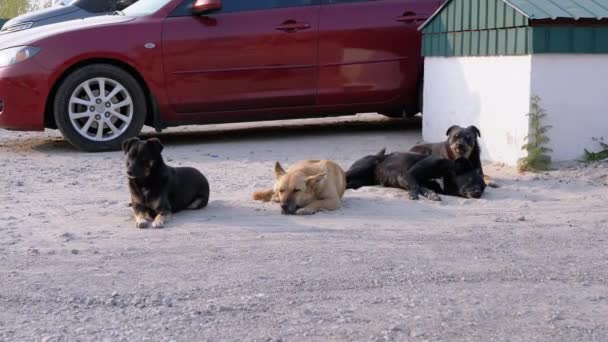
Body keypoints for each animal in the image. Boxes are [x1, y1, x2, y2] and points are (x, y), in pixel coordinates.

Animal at [346, 150, 484, 200]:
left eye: (483, 188)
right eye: (470, 179)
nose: (478, 192)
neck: (444, 175)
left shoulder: (422, 183)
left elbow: (425, 188)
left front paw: (432, 195)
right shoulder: (409, 174)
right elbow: (415, 186)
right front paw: (413, 194)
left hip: (360, 181)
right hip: (362, 167)